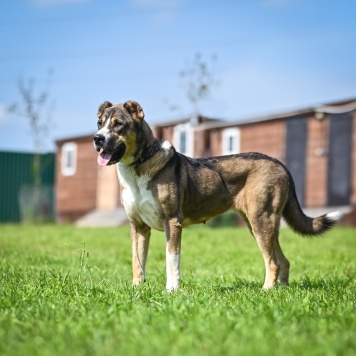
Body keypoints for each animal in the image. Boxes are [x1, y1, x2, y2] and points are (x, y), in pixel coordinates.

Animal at [93, 98, 344, 290]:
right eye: (99, 123)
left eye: (118, 124)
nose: (97, 138)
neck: (138, 166)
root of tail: (280, 164)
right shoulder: (138, 226)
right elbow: (137, 261)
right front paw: (137, 289)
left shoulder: (172, 222)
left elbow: (171, 260)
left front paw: (171, 290)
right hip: (259, 225)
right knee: (284, 260)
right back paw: (281, 290)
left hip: (261, 221)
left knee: (272, 262)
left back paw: (266, 291)